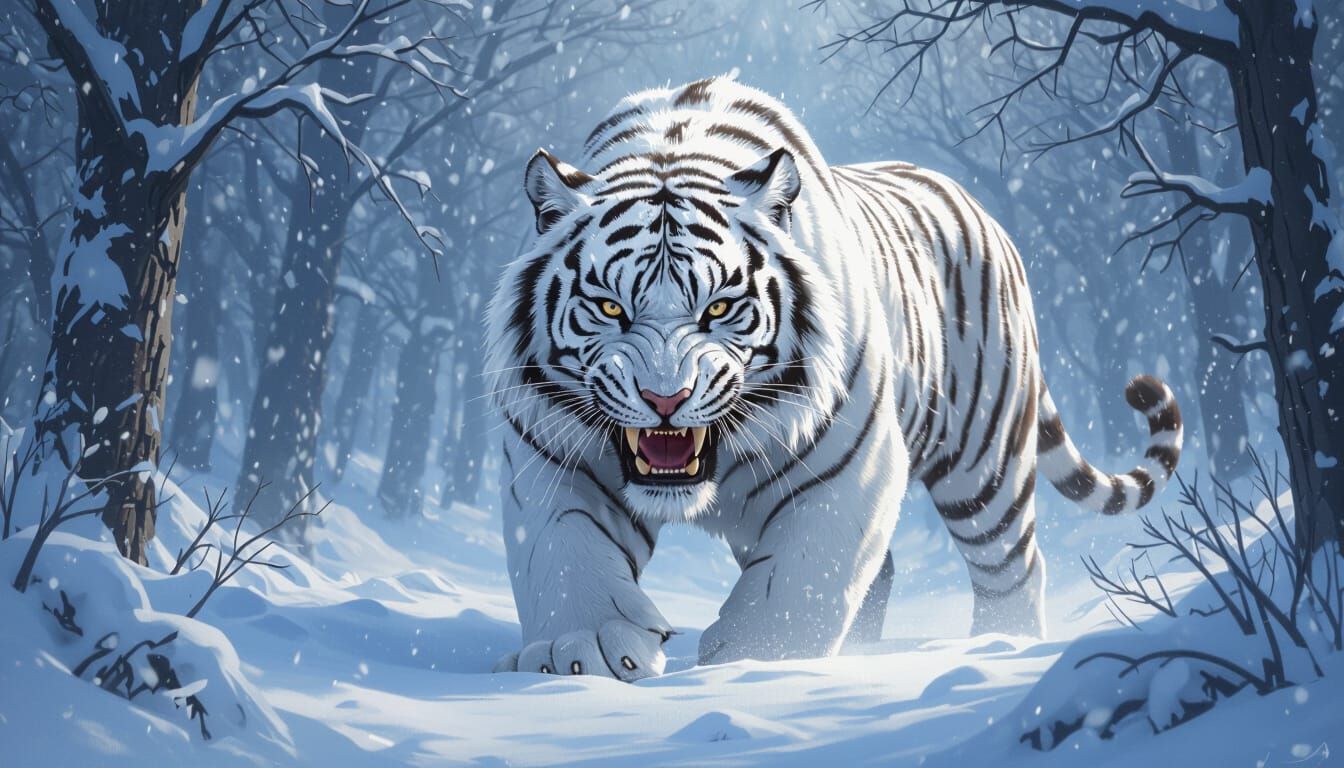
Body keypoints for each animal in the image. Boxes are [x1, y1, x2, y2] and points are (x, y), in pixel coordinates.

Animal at [485, 76, 1182, 680]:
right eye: (609, 308)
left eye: (719, 308)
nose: (665, 399)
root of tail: (982, 211)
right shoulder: (549, 450)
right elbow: (564, 550)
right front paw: (589, 650)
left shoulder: (852, 463)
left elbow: (804, 574)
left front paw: (760, 660)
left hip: (985, 463)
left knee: (1013, 568)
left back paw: (1002, 647)